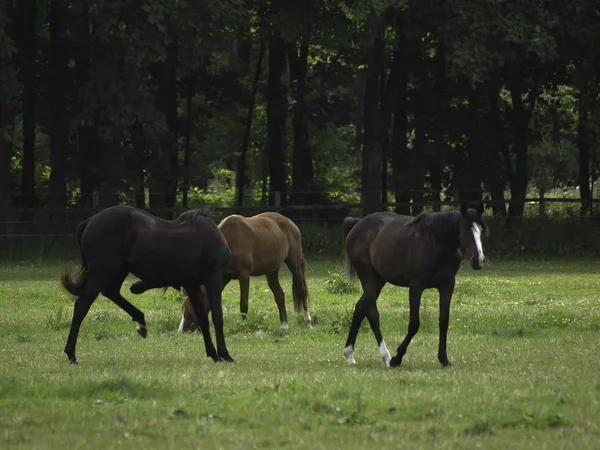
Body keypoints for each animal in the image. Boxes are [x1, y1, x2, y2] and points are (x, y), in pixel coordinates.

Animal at [59, 206, 234, 364]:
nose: (137, 286)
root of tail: (89, 221)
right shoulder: (213, 279)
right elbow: (217, 317)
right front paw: (225, 355)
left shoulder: (192, 284)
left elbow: (202, 318)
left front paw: (213, 354)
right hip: (100, 273)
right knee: (81, 307)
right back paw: (71, 354)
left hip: (119, 271)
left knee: (111, 292)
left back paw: (141, 322)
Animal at [177, 211, 310, 330]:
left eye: (189, 311)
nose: (182, 331)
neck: (229, 243)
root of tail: (290, 223)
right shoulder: (224, 277)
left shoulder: (244, 275)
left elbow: (243, 303)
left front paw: (244, 326)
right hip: (272, 270)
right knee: (279, 296)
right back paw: (284, 326)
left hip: (294, 265)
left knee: (302, 291)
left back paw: (307, 321)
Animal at [340, 203, 486, 370]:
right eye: (465, 229)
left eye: (481, 229)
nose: (479, 260)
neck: (437, 244)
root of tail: (357, 224)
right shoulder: (416, 286)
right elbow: (414, 324)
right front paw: (397, 358)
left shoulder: (447, 285)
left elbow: (444, 321)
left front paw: (444, 359)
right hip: (368, 277)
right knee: (372, 313)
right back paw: (386, 357)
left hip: (379, 280)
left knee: (360, 308)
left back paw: (349, 354)